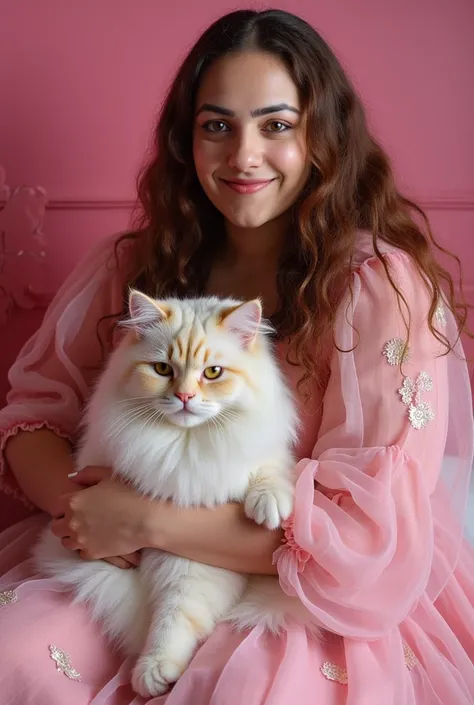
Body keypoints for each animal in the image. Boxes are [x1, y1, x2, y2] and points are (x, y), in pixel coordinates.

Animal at [33, 288, 318, 696]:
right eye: (162, 370)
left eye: (213, 373)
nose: (184, 396)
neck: (186, 445)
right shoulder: (183, 562)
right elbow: (171, 621)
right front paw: (153, 672)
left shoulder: (194, 560)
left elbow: (271, 475)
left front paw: (268, 508)